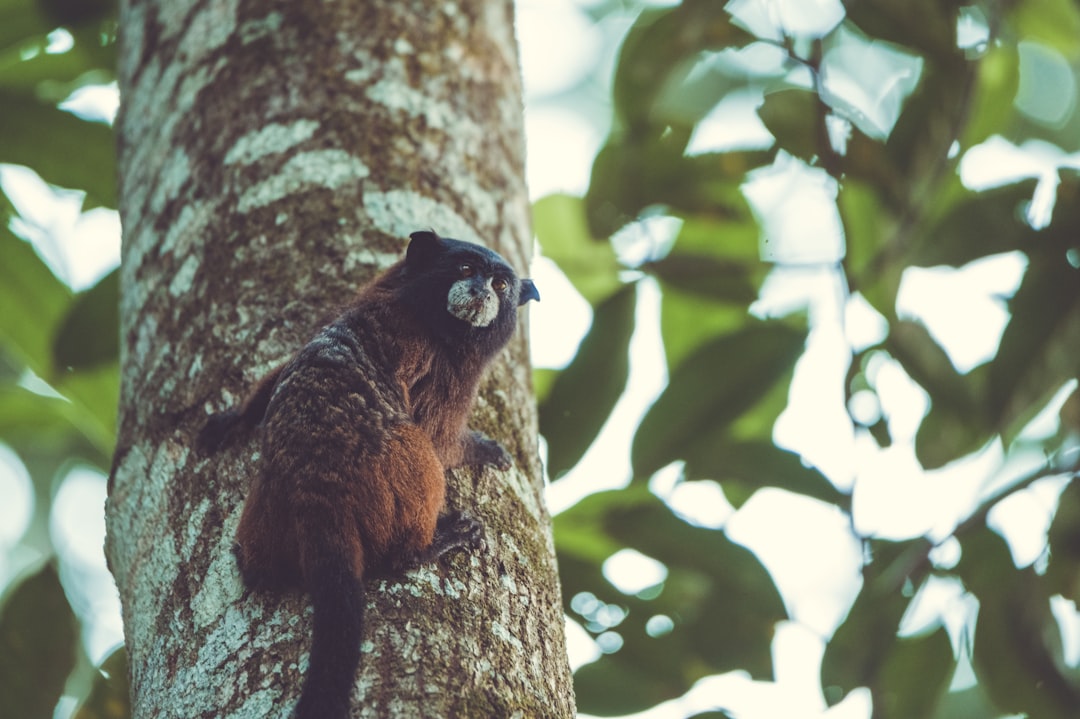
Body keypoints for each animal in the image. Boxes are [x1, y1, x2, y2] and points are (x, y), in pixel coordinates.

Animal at [197, 229, 540, 716]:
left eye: (501, 285)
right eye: (465, 270)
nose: (481, 291)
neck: (417, 302)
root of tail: (317, 492)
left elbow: (281, 370)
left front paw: (232, 420)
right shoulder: (446, 366)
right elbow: (439, 437)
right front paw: (483, 449)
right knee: (416, 450)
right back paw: (427, 545)